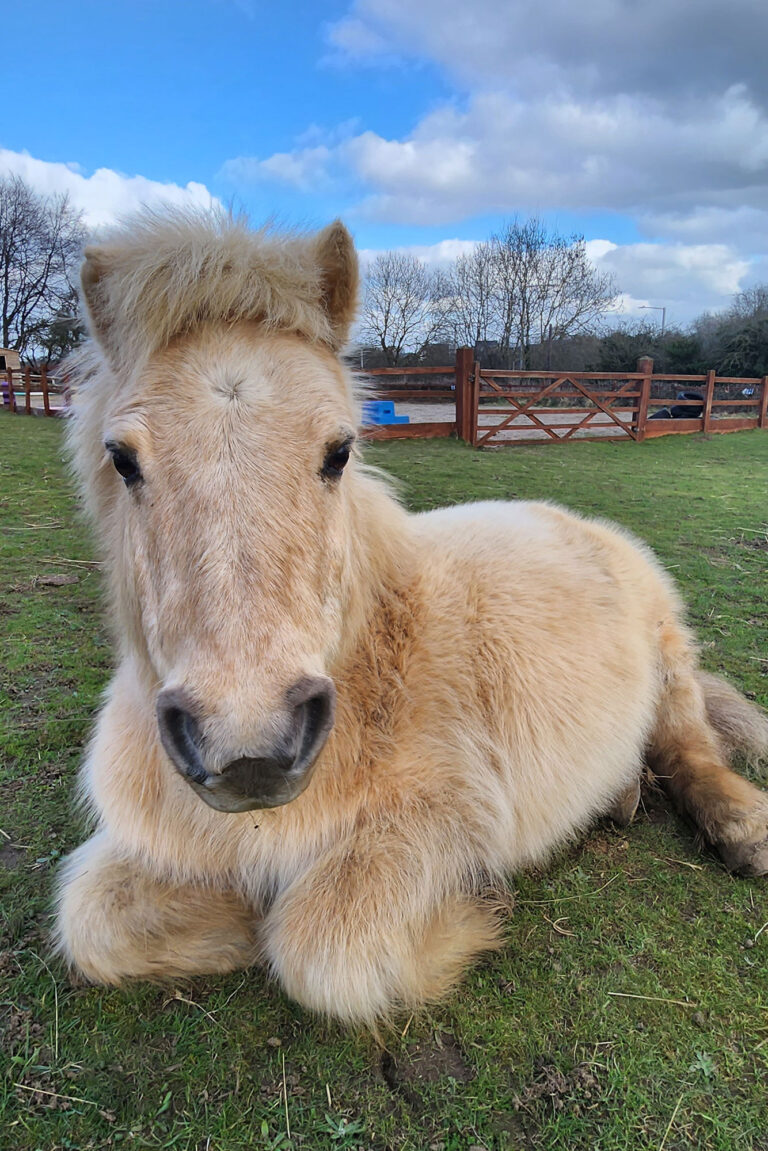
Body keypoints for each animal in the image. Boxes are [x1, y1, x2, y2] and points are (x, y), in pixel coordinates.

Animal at [55, 214, 768, 1026]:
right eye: (122, 459)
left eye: (339, 451)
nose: (250, 747)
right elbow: (95, 919)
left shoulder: (433, 823)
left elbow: (321, 947)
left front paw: (475, 908)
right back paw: (618, 793)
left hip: (671, 663)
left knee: (691, 749)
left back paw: (743, 830)